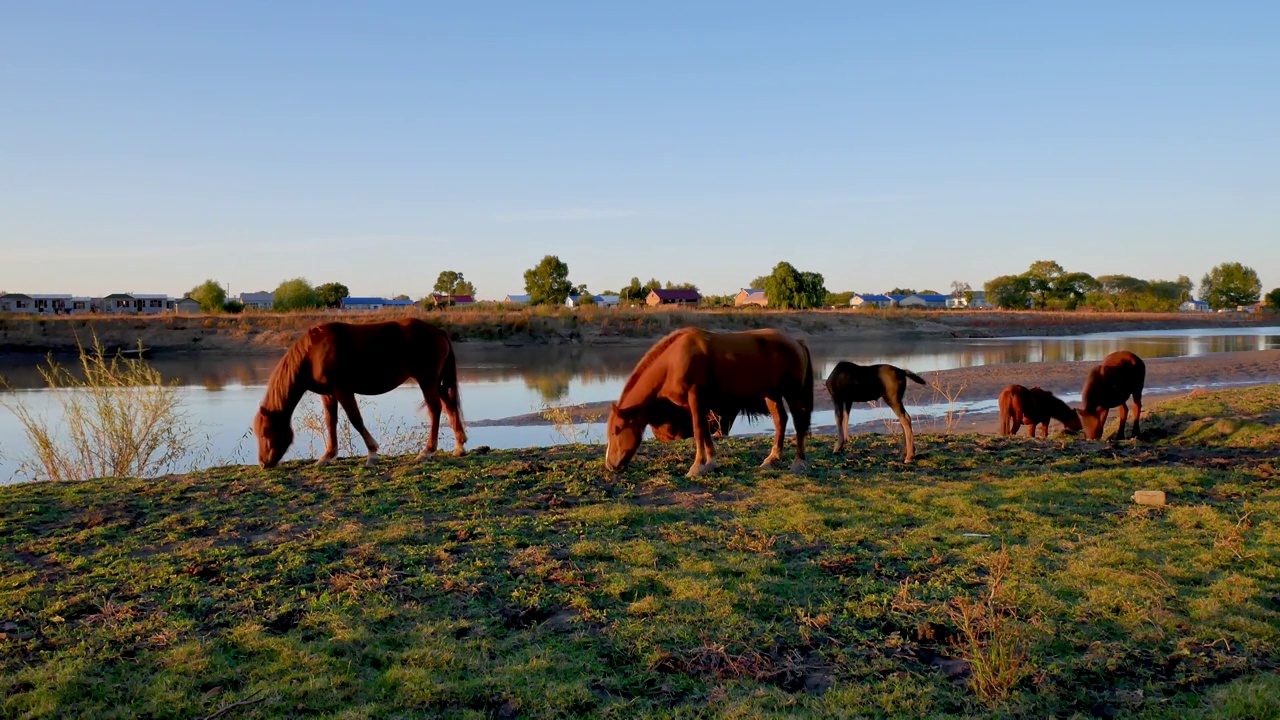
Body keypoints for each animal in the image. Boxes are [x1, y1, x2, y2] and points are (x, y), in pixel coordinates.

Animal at [252, 317, 468, 466]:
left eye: (266, 433)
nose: (263, 463)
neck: (312, 354)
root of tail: (439, 331)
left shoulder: (343, 390)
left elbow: (355, 419)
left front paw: (372, 453)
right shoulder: (329, 393)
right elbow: (330, 422)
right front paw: (327, 456)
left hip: (426, 380)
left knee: (435, 409)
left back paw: (427, 451)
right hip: (434, 382)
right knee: (449, 406)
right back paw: (459, 446)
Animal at [606, 326, 808, 476]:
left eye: (617, 430)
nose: (610, 465)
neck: (672, 362)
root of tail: (796, 342)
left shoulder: (695, 396)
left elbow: (698, 430)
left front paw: (697, 466)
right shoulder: (699, 403)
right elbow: (704, 431)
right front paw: (710, 462)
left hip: (793, 392)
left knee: (799, 421)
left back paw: (798, 462)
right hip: (772, 394)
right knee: (780, 420)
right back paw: (772, 459)